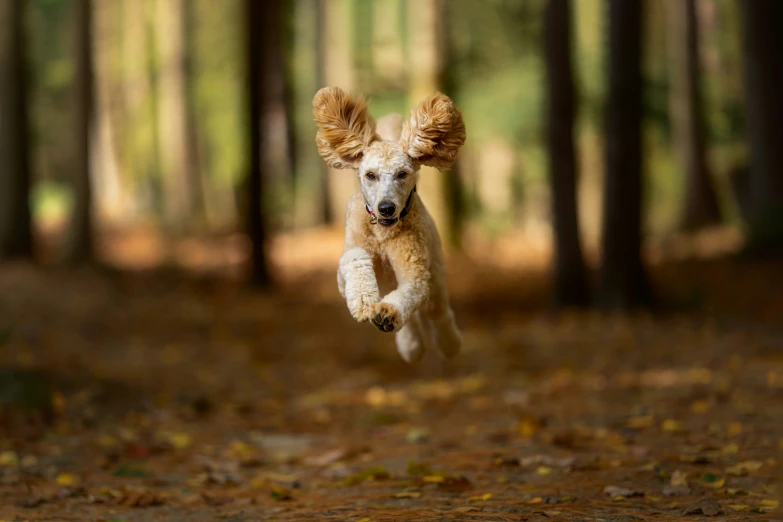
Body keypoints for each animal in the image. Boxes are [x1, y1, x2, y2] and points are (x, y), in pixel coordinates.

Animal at [310, 86, 466, 362]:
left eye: (402, 174)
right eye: (370, 175)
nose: (386, 207)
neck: (382, 232)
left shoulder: (416, 272)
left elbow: (411, 290)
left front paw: (387, 313)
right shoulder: (346, 266)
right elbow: (354, 257)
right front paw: (364, 302)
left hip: (436, 278)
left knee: (437, 314)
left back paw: (448, 344)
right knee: (412, 321)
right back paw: (411, 345)